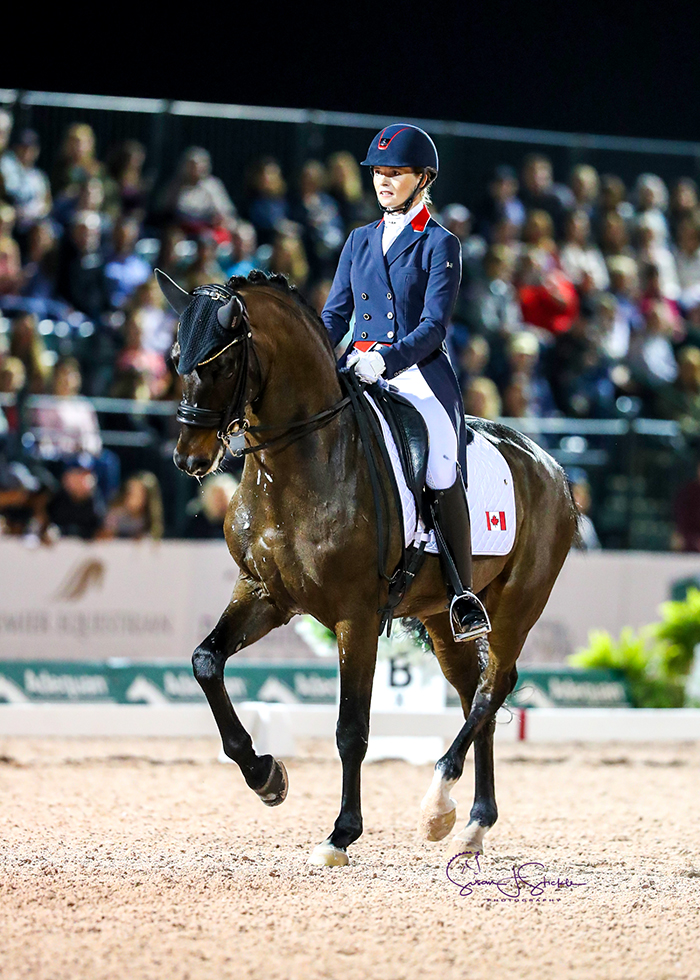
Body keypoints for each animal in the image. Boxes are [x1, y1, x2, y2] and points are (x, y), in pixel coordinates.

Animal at [167, 268, 576, 864]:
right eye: (177, 356)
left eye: (219, 363)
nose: (189, 459)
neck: (300, 460)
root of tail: (552, 467)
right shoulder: (263, 593)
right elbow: (205, 662)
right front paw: (265, 776)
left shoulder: (355, 617)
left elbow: (350, 728)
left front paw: (341, 833)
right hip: (443, 617)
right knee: (473, 690)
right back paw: (472, 825)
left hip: (519, 604)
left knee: (492, 687)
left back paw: (437, 805)